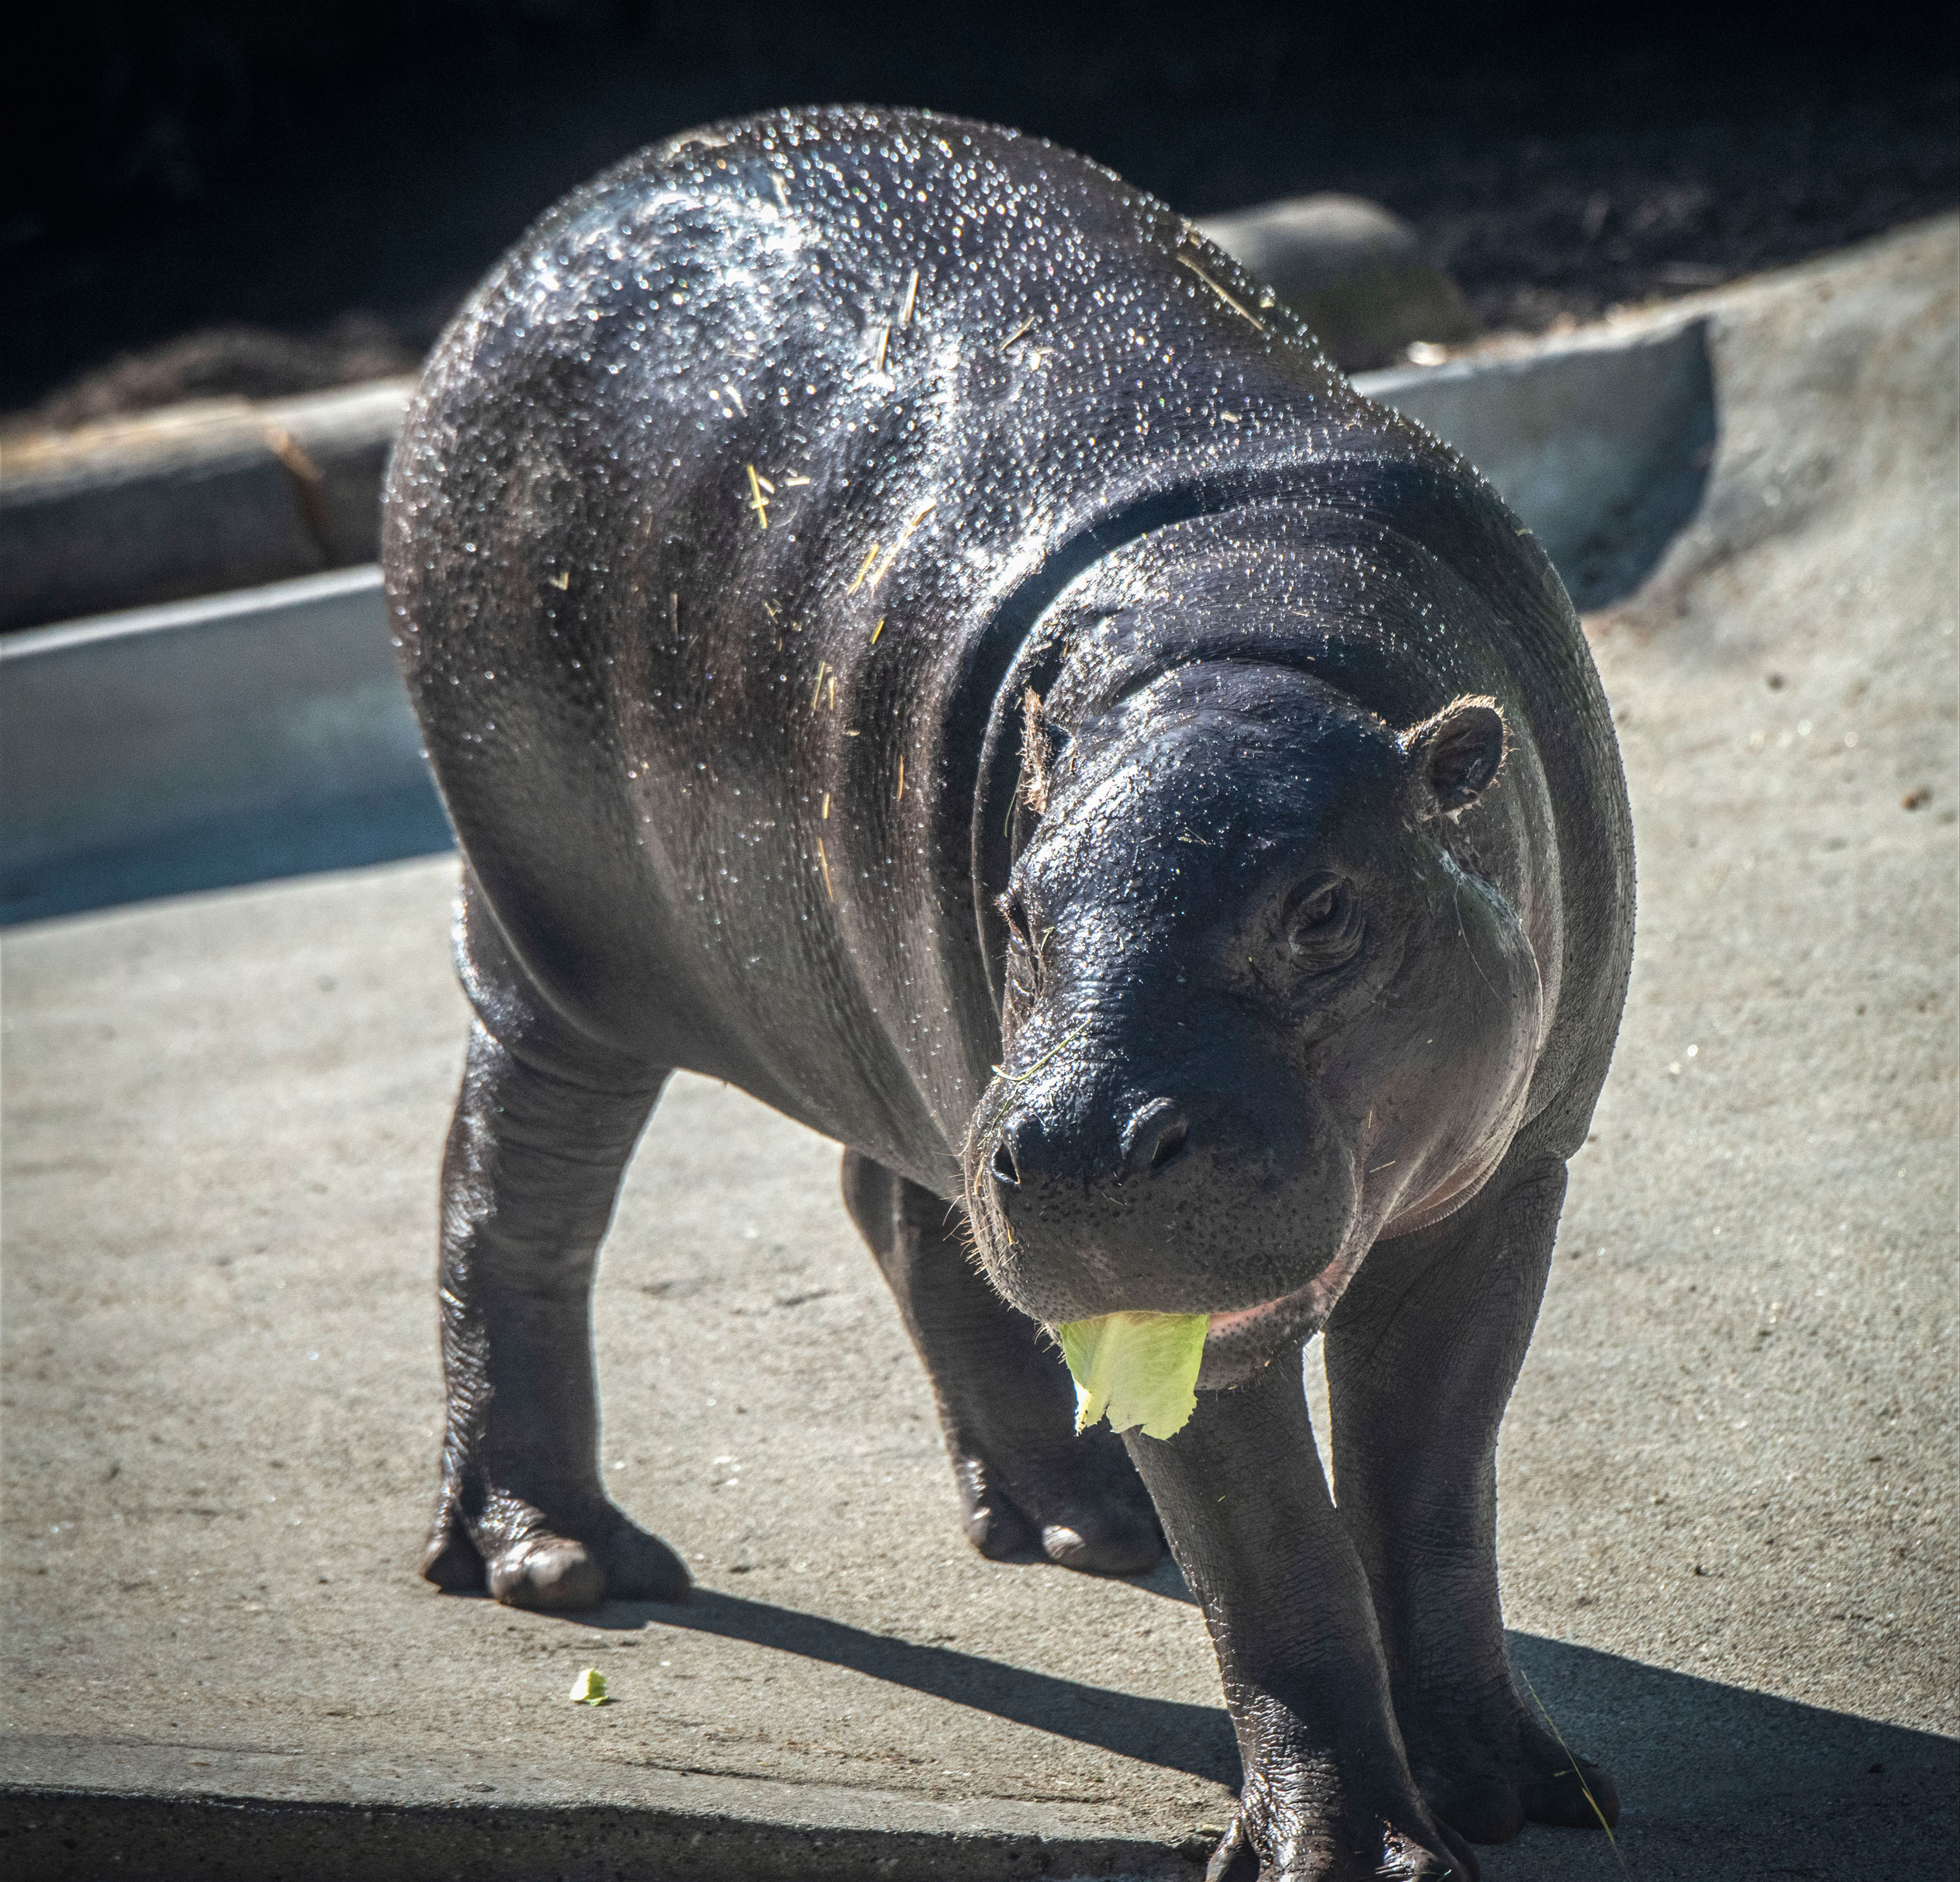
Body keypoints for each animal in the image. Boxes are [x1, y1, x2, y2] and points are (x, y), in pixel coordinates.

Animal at [382, 106, 1638, 1882]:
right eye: (1024, 902)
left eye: (1326, 909)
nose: (1081, 1146)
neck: (1257, 642)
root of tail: (531, 248)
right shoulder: (1173, 1284)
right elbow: (1281, 1564)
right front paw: (1356, 1855)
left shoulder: (1512, 1172)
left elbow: (1429, 1492)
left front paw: (1529, 1794)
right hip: (555, 940)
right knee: (511, 1199)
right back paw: (558, 1561)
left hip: (897, 1039)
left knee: (895, 1202)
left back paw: (1077, 1525)